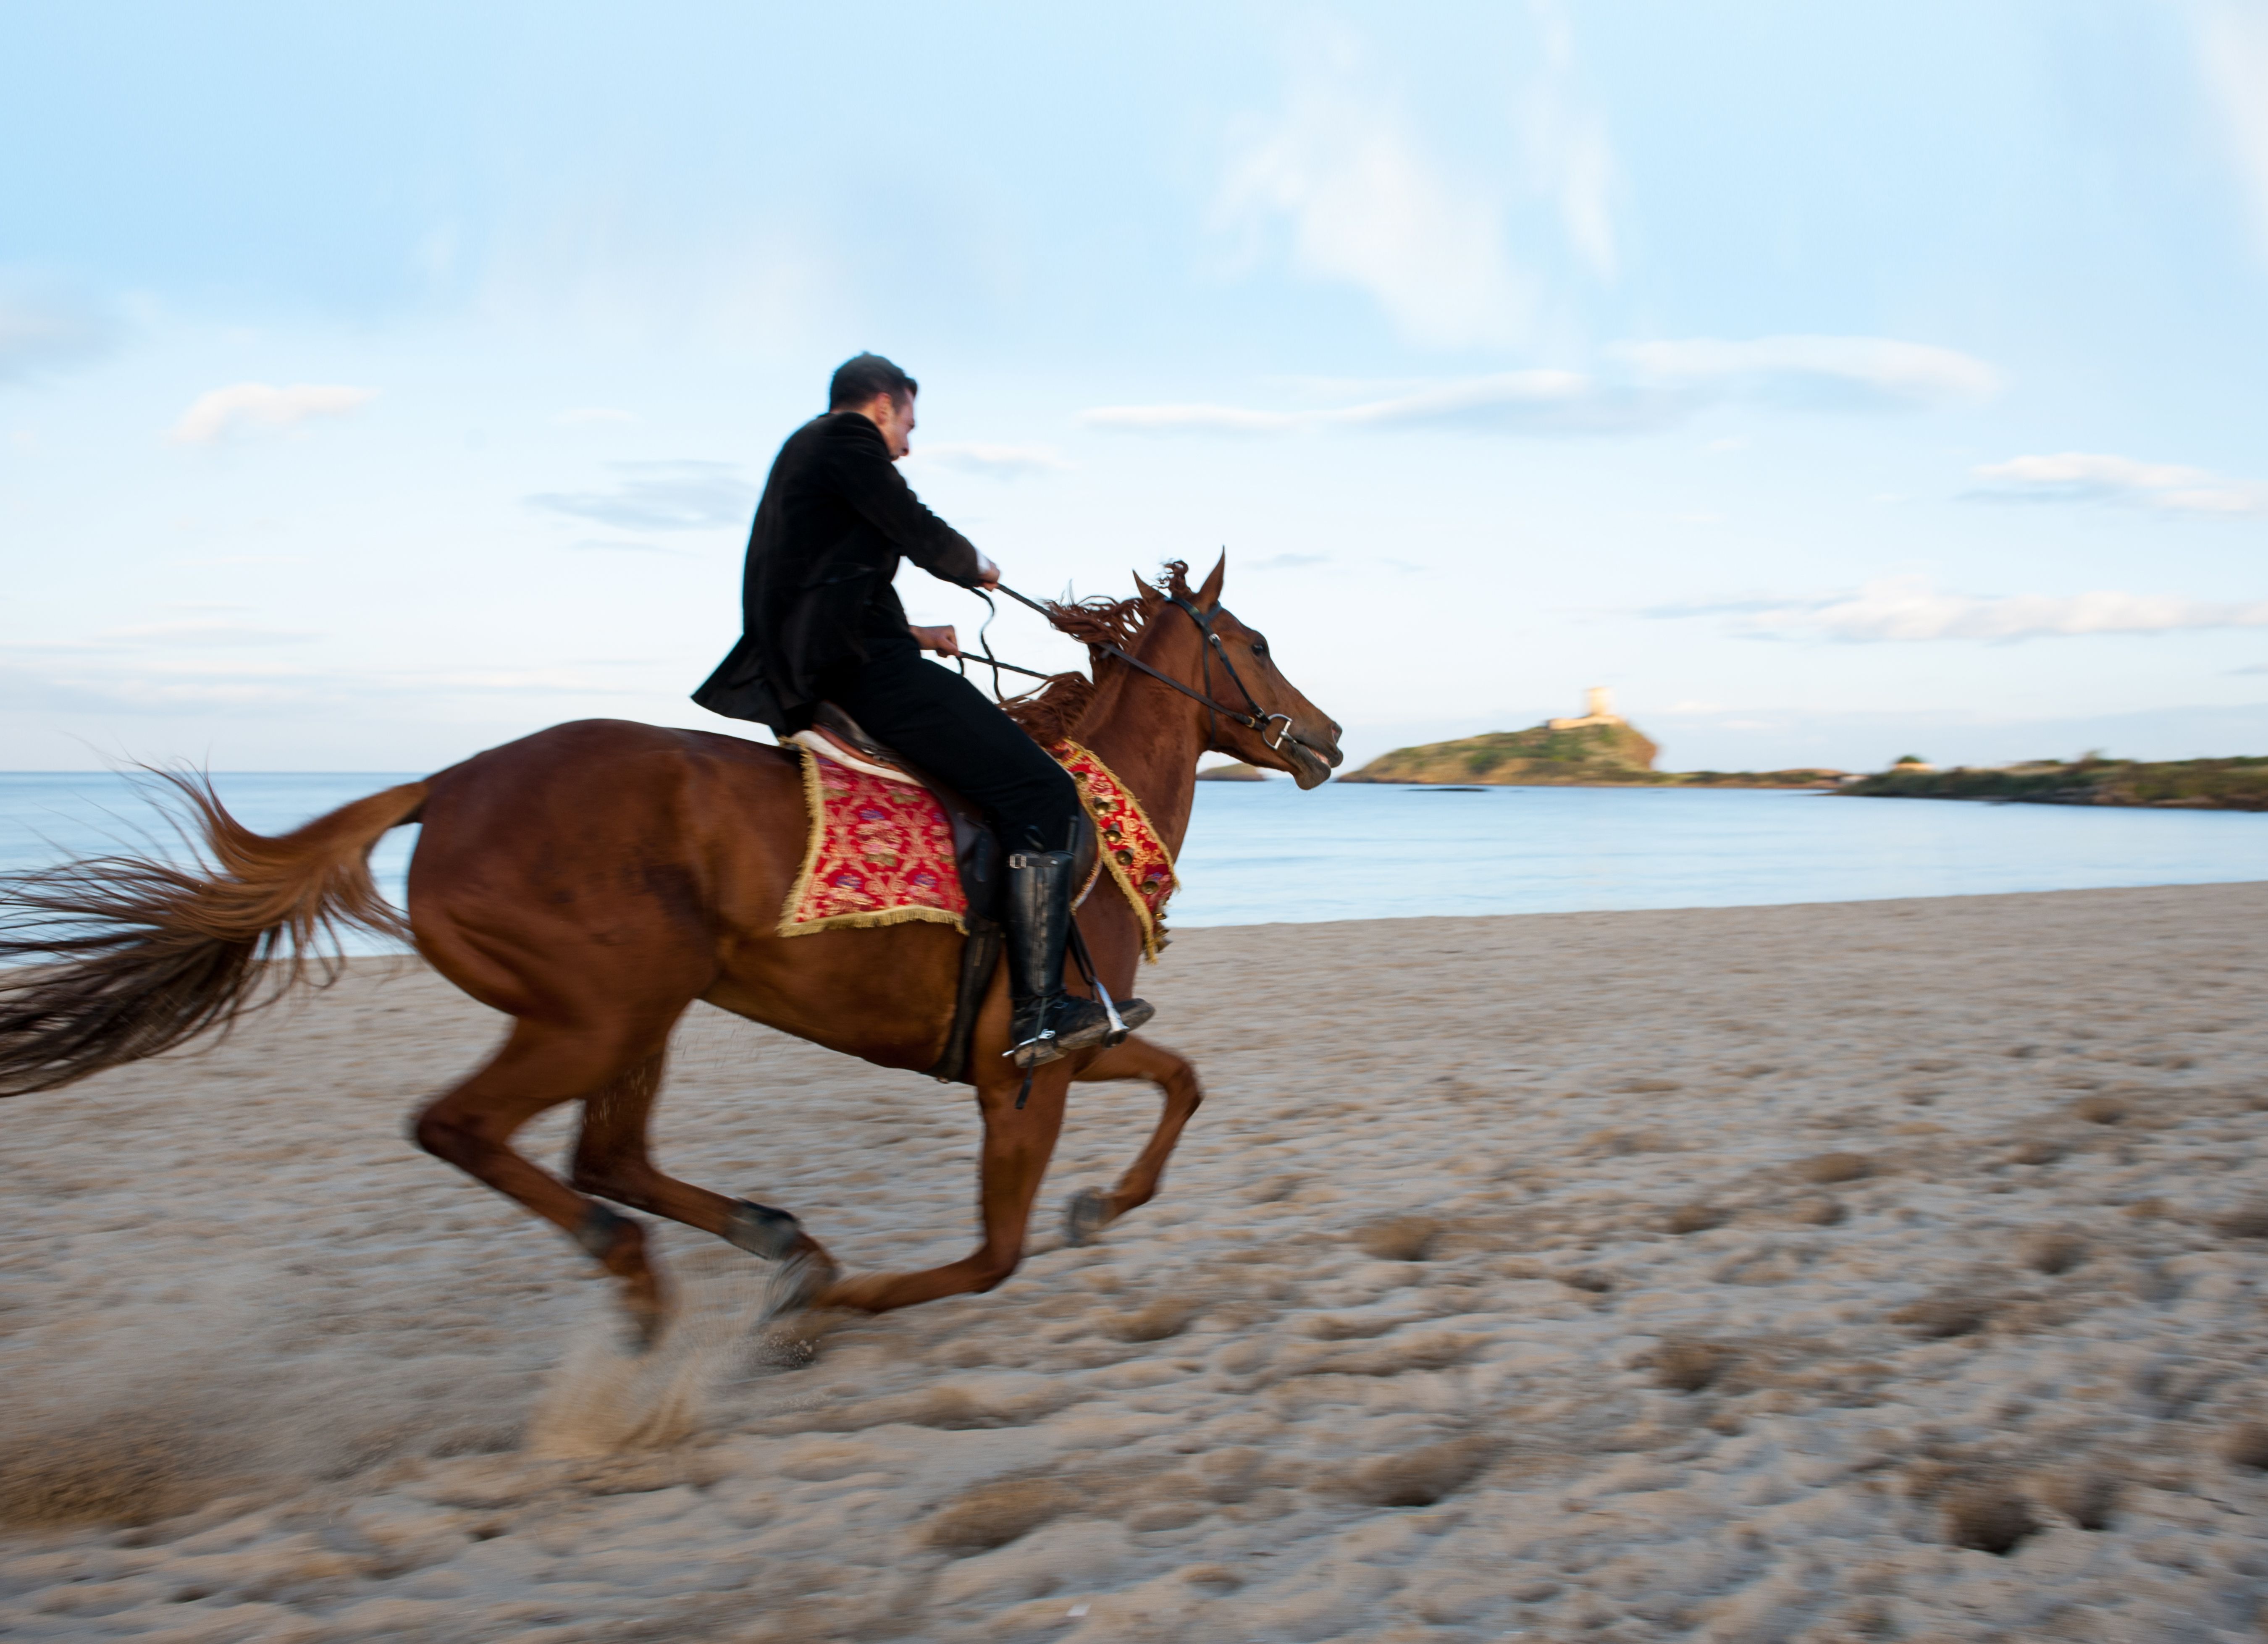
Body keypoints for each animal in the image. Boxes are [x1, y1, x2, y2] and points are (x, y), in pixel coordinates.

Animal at [0, 558, 1342, 1342]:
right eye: (1256, 639)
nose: (1328, 737)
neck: (1076, 821)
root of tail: (447, 785)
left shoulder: (1072, 1047)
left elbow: (1181, 1084)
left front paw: (1098, 1206)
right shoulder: (1026, 1072)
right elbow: (996, 1255)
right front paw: (856, 1304)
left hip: (640, 1012)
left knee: (608, 1153)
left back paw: (774, 1247)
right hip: (600, 1011)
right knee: (474, 1132)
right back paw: (658, 1273)